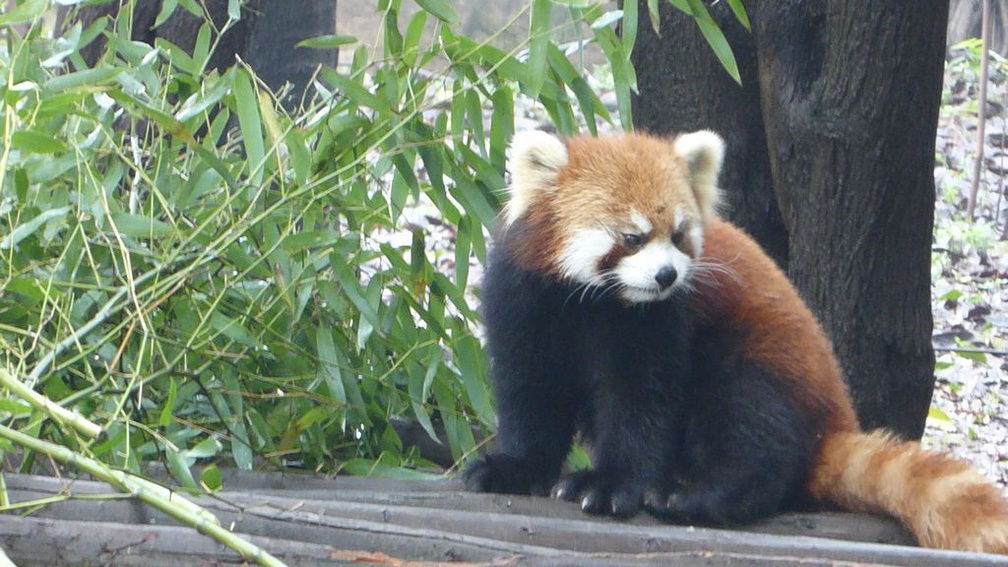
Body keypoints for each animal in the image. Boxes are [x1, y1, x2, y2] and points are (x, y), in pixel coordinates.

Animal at [461, 129, 1008, 552]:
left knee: (750, 423)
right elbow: (529, 392)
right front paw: (514, 468)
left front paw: (611, 485)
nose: (666, 275)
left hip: (764, 365)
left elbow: (640, 404)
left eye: (679, 234)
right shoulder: (525, 300)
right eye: (632, 237)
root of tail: (832, 422)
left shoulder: (660, 323)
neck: (596, 302)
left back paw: (697, 494)